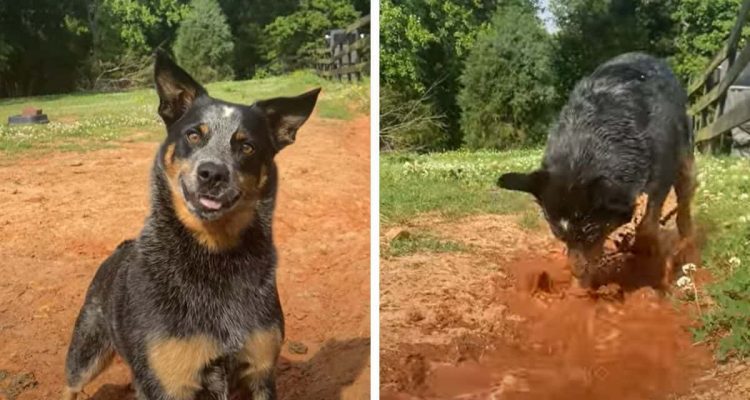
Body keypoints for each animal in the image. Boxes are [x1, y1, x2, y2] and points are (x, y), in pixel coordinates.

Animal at [64, 50, 320, 400]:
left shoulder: (260, 372)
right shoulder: (168, 383)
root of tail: (120, 249)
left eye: (247, 146)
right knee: (72, 382)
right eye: (194, 134)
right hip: (87, 348)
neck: (215, 256)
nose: (212, 173)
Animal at [500, 52, 700, 282]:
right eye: (559, 235)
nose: (577, 274)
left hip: (685, 154)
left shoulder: (662, 168)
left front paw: (646, 254)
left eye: (590, 234)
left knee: (685, 196)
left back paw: (686, 244)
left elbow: (649, 220)